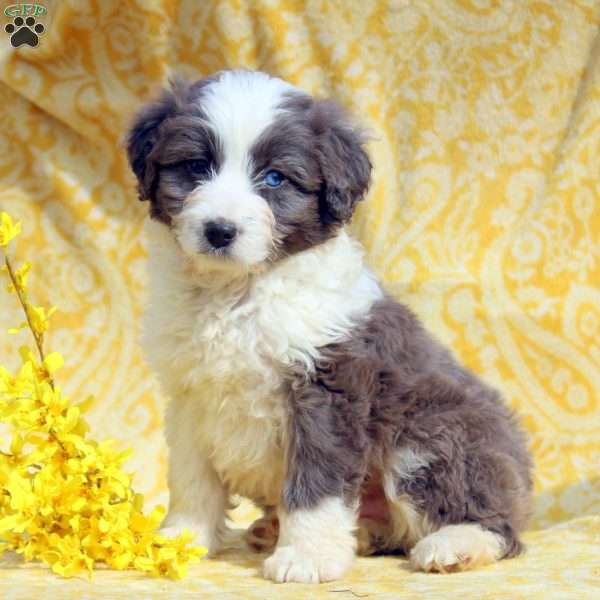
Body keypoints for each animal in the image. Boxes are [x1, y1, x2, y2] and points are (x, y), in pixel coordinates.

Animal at [125, 69, 528, 580]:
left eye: (274, 178)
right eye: (197, 166)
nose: (219, 230)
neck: (236, 294)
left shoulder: (326, 389)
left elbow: (317, 482)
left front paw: (307, 557)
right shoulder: (190, 394)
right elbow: (192, 476)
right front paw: (180, 539)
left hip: (433, 437)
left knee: (497, 525)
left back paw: (454, 544)